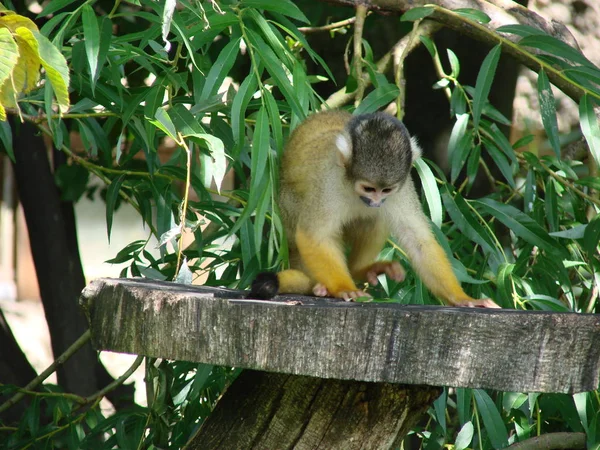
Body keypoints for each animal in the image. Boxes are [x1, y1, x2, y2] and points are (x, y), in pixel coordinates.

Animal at [247, 109, 496, 308]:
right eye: (368, 188)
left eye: (385, 190)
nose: (375, 202)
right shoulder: (329, 181)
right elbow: (313, 235)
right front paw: (343, 288)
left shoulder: (402, 188)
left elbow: (419, 241)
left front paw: (462, 298)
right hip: (285, 216)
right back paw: (324, 285)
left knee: (376, 220)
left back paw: (359, 270)